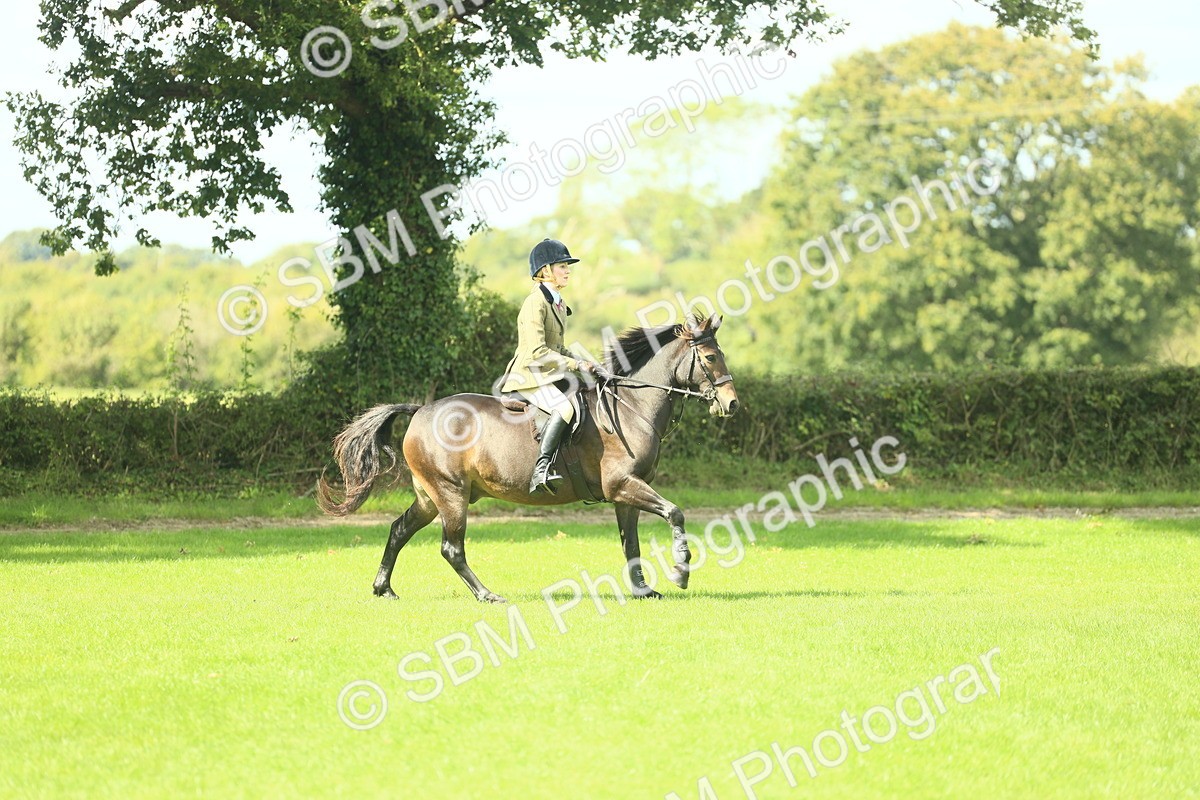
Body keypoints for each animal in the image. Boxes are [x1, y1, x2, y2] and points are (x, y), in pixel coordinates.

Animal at [317, 313, 740, 602]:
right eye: (710, 357)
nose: (732, 404)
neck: (631, 407)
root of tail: (420, 410)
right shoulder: (623, 485)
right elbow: (676, 513)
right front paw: (681, 569)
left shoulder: (625, 493)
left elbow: (630, 542)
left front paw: (641, 590)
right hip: (451, 494)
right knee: (451, 548)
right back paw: (487, 595)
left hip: (429, 496)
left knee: (398, 530)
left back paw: (383, 588)